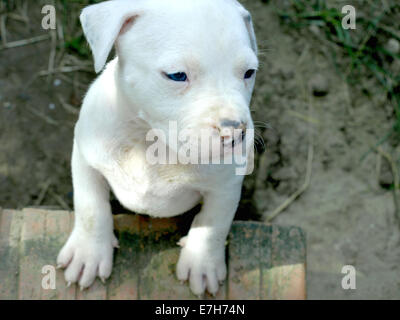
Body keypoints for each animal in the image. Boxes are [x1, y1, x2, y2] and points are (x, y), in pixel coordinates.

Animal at [57, 0, 260, 296]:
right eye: (177, 75)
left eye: (249, 73)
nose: (235, 131)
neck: (150, 141)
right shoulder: (86, 157)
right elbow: (90, 207)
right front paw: (89, 253)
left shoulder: (225, 186)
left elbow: (213, 223)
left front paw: (202, 263)